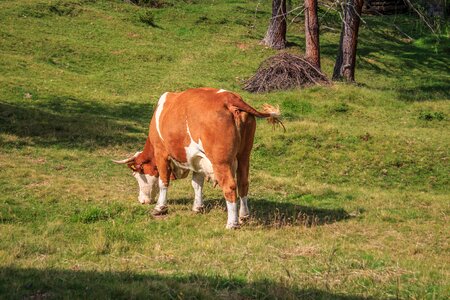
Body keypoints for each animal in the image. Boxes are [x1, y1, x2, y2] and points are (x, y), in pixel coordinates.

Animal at [112, 88, 282, 229]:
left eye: (137, 175)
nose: (141, 200)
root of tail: (230, 98)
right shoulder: (198, 159)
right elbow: (197, 184)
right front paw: (197, 207)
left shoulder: (161, 153)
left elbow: (163, 181)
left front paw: (160, 208)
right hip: (244, 155)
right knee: (243, 183)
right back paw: (244, 216)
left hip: (221, 161)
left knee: (230, 186)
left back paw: (232, 223)